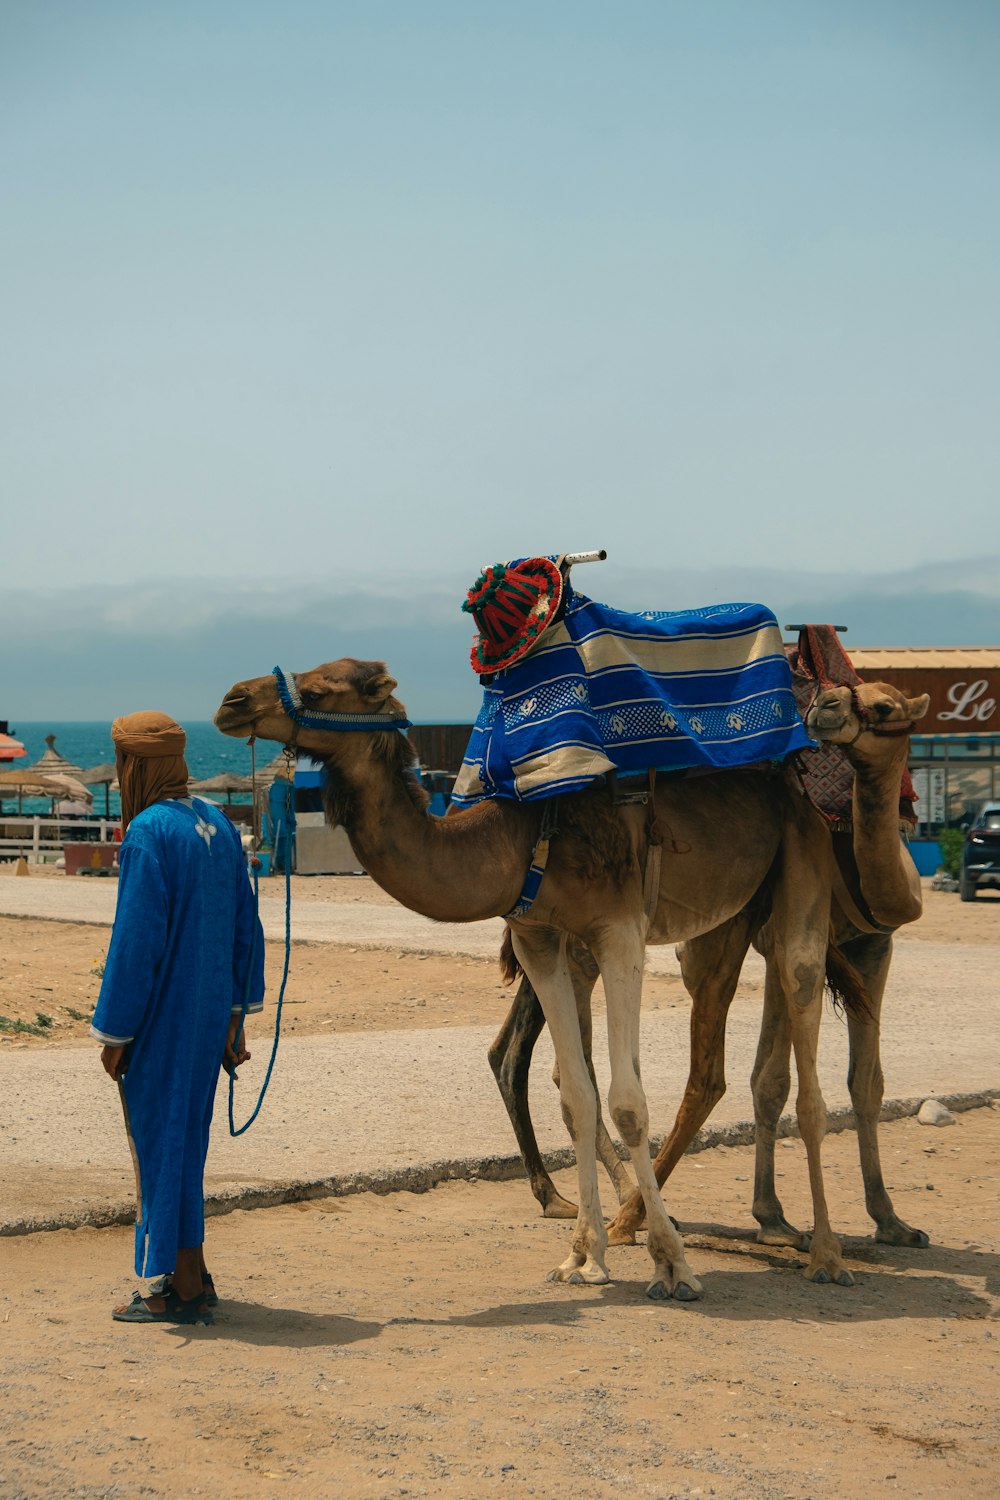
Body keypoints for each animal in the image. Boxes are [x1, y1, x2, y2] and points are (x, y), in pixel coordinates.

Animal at [215, 657, 857, 1302]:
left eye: (321, 687)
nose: (232, 701)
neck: (525, 837)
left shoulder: (619, 931)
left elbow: (627, 1103)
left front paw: (672, 1264)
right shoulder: (540, 940)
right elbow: (577, 1097)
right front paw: (583, 1257)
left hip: (802, 856)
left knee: (803, 1021)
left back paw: (826, 1254)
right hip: (735, 913)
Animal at [491, 678, 929, 1254]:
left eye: (884, 705)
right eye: (852, 693)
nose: (827, 706)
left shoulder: (876, 947)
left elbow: (866, 1082)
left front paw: (890, 1221)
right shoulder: (774, 939)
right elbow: (770, 1081)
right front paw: (774, 1218)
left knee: (518, 1054)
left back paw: (566, 1198)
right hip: (587, 939)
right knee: (568, 1064)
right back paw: (620, 1208)